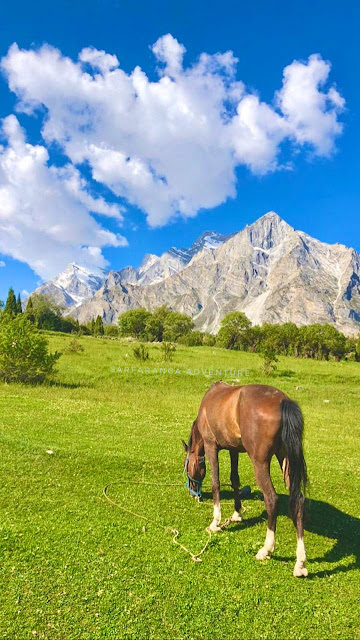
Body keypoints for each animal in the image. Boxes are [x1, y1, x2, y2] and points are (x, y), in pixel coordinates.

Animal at [184, 382, 308, 576]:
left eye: (187, 465)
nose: (193, 493)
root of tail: (283, 401)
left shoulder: (211, 446)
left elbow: (215, 483)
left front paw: (215, 522)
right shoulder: (233, 449)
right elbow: (234, 479)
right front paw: (237, 513)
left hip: (260, 463)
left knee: (271, 499)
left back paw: (266, 549)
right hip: (286, 459)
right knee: (299, 501)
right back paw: (300, 563)